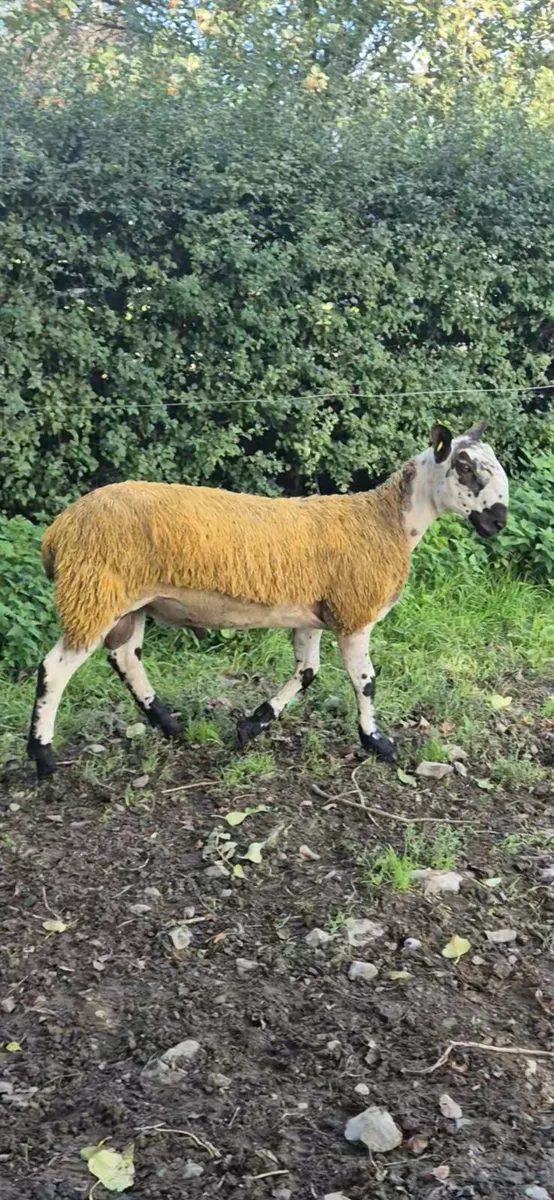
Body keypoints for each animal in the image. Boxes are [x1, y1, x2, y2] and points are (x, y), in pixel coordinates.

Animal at [28, 420, 509, 780]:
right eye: (464, 466)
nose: (499, 521)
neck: (387, 522)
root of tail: (58, 531)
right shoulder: (354, 613)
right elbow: (365, 680)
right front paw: (377, 742)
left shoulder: (312, 616)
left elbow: (307, 672)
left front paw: (252, 725)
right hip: (93, 593)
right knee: (55, 668)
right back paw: (43, 757)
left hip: (128, 603)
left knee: (126, 657)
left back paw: (169, 726)